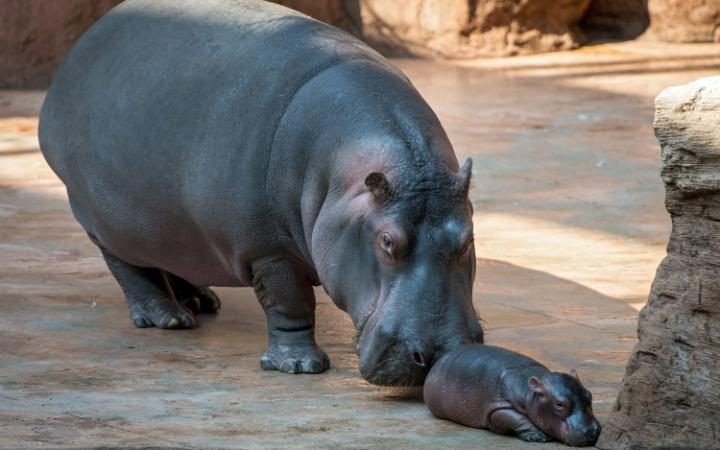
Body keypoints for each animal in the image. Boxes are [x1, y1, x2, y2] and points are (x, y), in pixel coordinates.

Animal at [39, 0, 484, 386]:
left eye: (467, 239)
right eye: (387, 241)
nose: (437, 354)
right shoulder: (268, 249)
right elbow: (289, 302)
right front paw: (298, 366)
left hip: (168, 222)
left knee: (171, 255)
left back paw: (200, 301)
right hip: (104, 218)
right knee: (130, 268)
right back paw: (168, 318)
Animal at [424, 344, 600, 446]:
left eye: (590, 395)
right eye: (559, 404)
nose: (591, 430)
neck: (530, 392)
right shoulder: (497, 407)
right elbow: (514, 418)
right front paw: (537, 436)